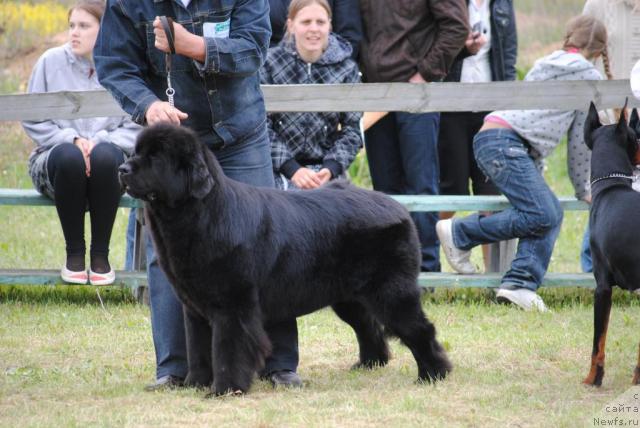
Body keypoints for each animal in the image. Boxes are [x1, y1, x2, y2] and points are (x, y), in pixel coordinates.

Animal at [117, 123, 452, 398]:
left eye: (156, 158)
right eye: (136, 152)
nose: (122, 168)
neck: (202, 214)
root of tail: (397, 206)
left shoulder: (232, 307)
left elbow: (227, 350)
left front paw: (224, 390)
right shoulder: (195, 308)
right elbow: (198, 349)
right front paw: (195, 384)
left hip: (391, 292)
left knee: (420, 329)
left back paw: (433, 374)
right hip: (349, 297)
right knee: (368, 325)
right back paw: (369, 364)